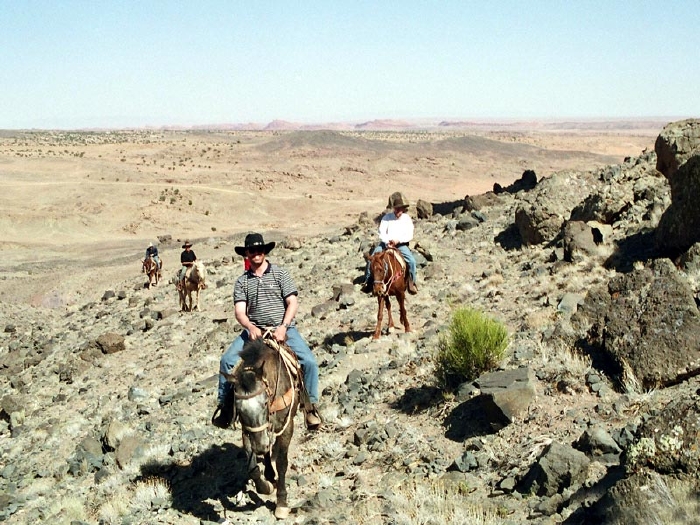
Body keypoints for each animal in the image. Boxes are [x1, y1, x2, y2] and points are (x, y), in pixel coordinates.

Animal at [227, 338, 298, 516]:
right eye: (239, 409)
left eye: (265, 402)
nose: (259, 447)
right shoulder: (247, 431)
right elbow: (252, 467)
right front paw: (266, 487)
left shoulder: (287, 426)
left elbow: (281, 462)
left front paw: (281, 503)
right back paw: (269, 473)